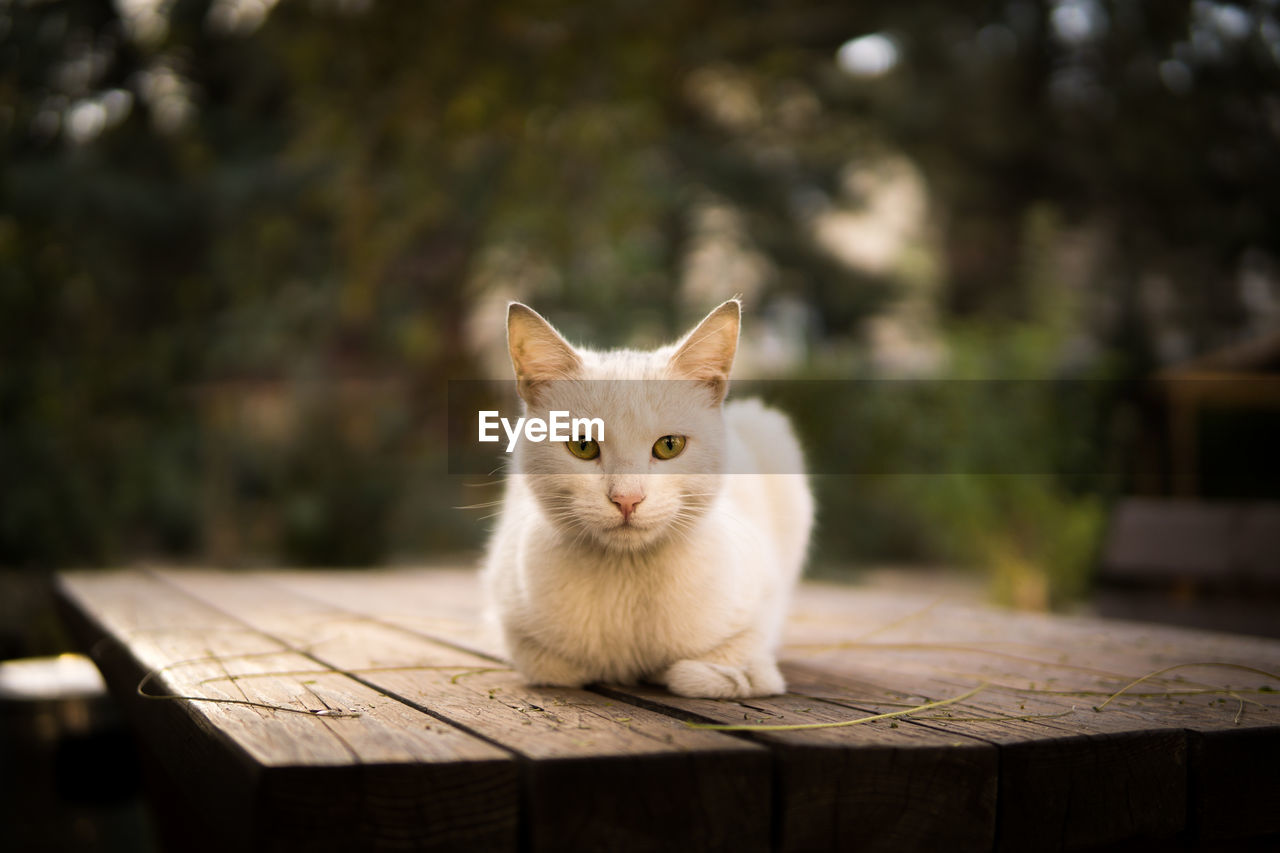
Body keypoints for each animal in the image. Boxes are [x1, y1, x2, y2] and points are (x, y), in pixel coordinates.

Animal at [481, 298, 808, 696]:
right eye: (582, 446)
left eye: (669, 445)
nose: (627, 499)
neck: (627, 578)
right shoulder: (510, 619)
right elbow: (554, 667)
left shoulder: (764, 605)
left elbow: (731, 668)